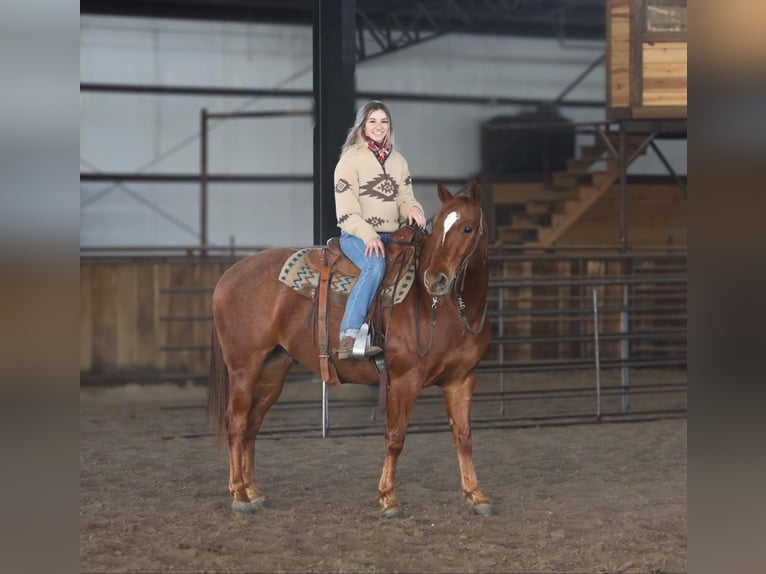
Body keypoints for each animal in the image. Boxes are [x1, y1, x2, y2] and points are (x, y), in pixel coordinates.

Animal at [208, 180, 492, 517]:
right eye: (437, 228)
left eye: (467, 228)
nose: (435, 279)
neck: (440, 308)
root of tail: (229, 275)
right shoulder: (405, 380)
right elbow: (395, 436)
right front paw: (388, 498)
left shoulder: (462, 379)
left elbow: (464, 437)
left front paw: (476, 495)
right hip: (244, 367)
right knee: (236, 422)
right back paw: (239, 495)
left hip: (272, 370)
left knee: (252, 423)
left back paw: (253, 492)